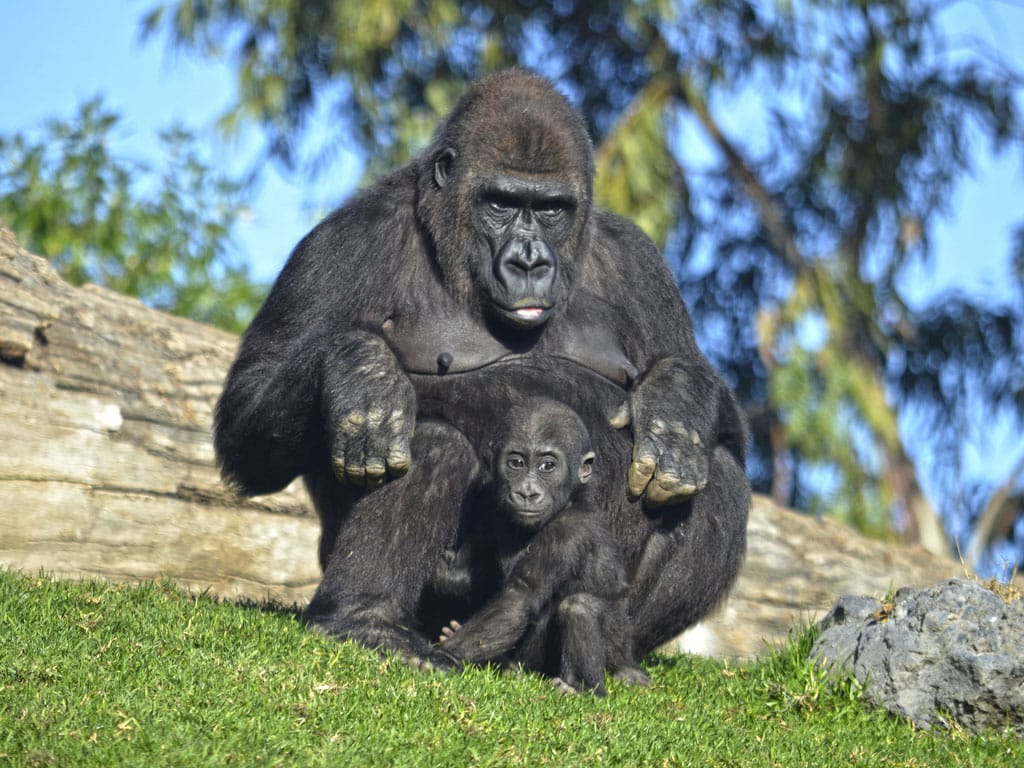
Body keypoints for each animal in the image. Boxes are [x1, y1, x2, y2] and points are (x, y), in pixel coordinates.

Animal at [216, 69, 749, 663]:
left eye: (551, 210)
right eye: (500, 203)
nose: (529, 262)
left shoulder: (639, 261)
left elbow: (704, 393)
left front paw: (674, 405)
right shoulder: (346, 241)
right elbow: (251, 417)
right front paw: (362, 374)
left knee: (718, 475)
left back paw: (612, 647)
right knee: (432, 445)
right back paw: (362, 619)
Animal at [432, 399, 647, 696]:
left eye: (548, 466)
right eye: (516, 463)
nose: (527, 492)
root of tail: (628, 663)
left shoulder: (566, 533)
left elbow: (520, 598)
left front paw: (442, 656)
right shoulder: (492, 506)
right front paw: (450, 578)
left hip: (614, 652)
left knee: (578, 608)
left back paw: (582, 687)